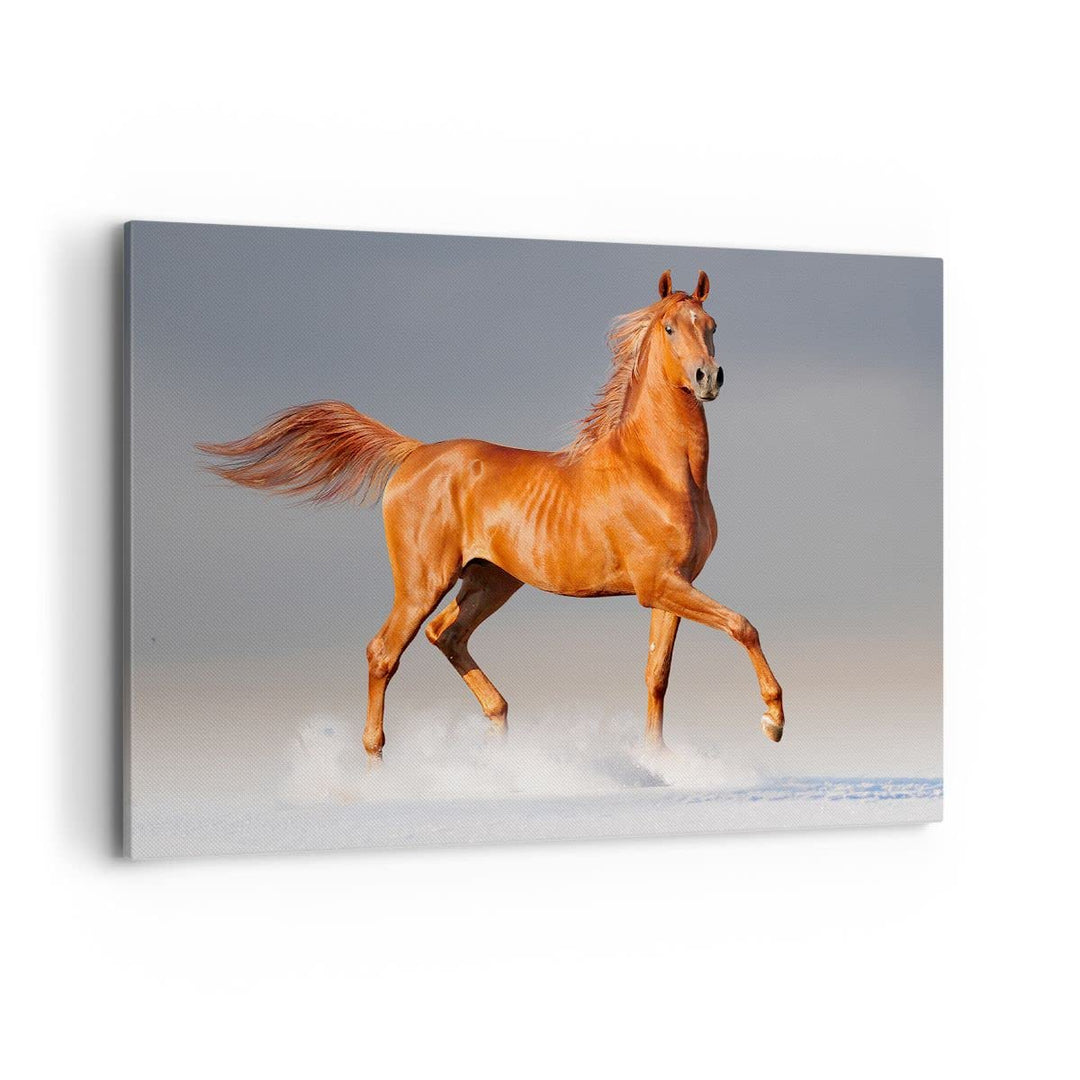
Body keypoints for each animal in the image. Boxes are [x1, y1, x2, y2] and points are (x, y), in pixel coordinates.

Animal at [198, 270, 785, 759]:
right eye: (668, 327)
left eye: (711, 325)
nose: (708, 377)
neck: (659, 469)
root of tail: (414, 454)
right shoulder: (656, 584)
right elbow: (743, 625)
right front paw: (773, 720)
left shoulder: (674, 584)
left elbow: (657, 674)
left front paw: (657, 759)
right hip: (423, 581)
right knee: (384, 652)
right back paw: (378, 763)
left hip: (490, 579)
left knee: (447, 635)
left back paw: (499, 733)